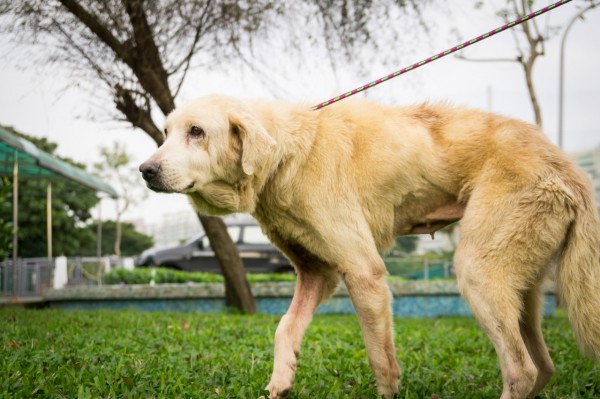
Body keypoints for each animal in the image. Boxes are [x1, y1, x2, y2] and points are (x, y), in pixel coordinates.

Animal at [141, 95, 600, 398]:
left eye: (197, 132)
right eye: (164, 133)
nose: (146, 169)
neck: (290, 154)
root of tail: (568, 167)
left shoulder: (364, 271)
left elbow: (380, 358)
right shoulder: (316, 274)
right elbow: (284, 327)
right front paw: (281, 381)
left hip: (478, 272)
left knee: (521, 370)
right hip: (519, 287)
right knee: (542, 367)